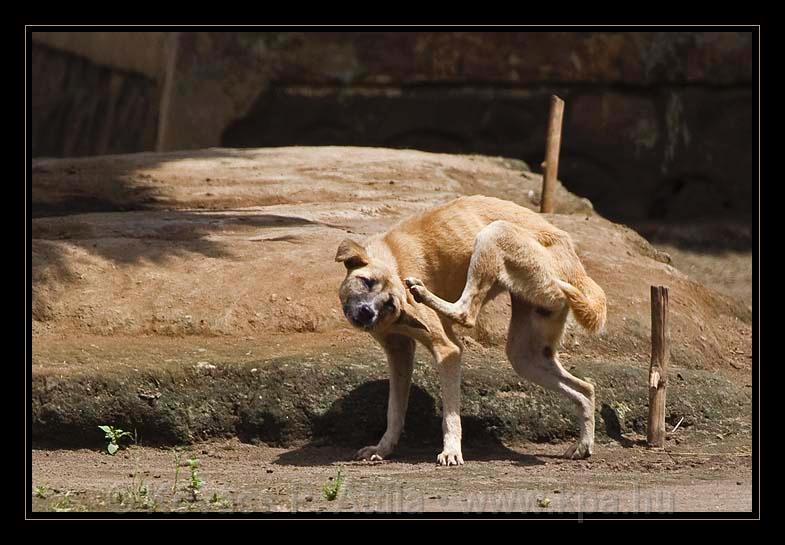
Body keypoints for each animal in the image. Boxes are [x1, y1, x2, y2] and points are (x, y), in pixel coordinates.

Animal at [334, 193, 604, 466]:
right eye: (366, 282)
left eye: (389, 304)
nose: (367, 313)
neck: (394, 260)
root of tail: (577, 268)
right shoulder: (398, 352)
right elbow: (395, 411)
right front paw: (383, 448)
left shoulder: (448, 350)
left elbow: (450, 415)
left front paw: (451, 451)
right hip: (526, 357)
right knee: (585, 390)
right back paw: (584, 445)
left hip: (494, 233)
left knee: (466, 313)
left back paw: (424, 293)